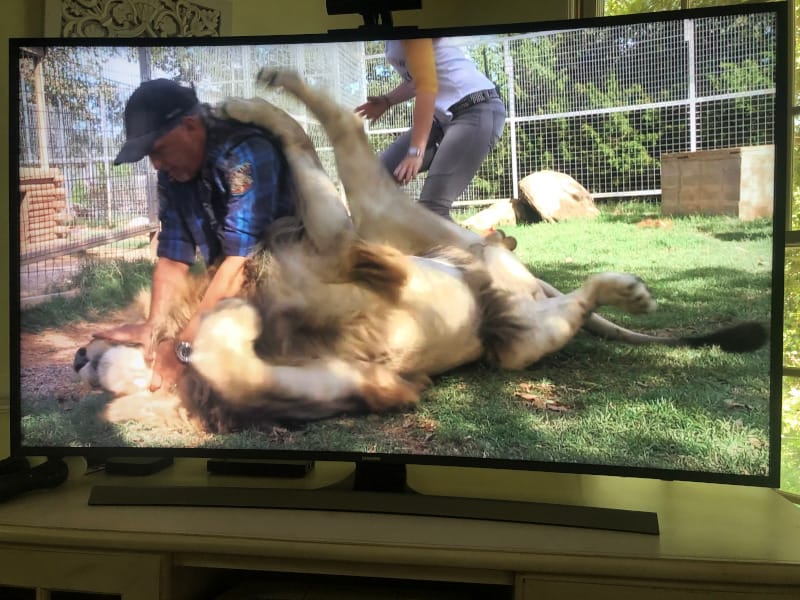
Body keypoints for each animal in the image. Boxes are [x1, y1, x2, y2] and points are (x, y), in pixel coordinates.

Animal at [75, 69, 768, 432]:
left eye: (102, 339)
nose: (79, 353)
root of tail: (500, 268)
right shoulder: (323, 371)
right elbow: (231, 342)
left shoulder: (324, 239)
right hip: (514, 340)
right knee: (572, 302)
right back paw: (623, 289)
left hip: (394, 216)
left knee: (323, 131)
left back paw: (261, 95)